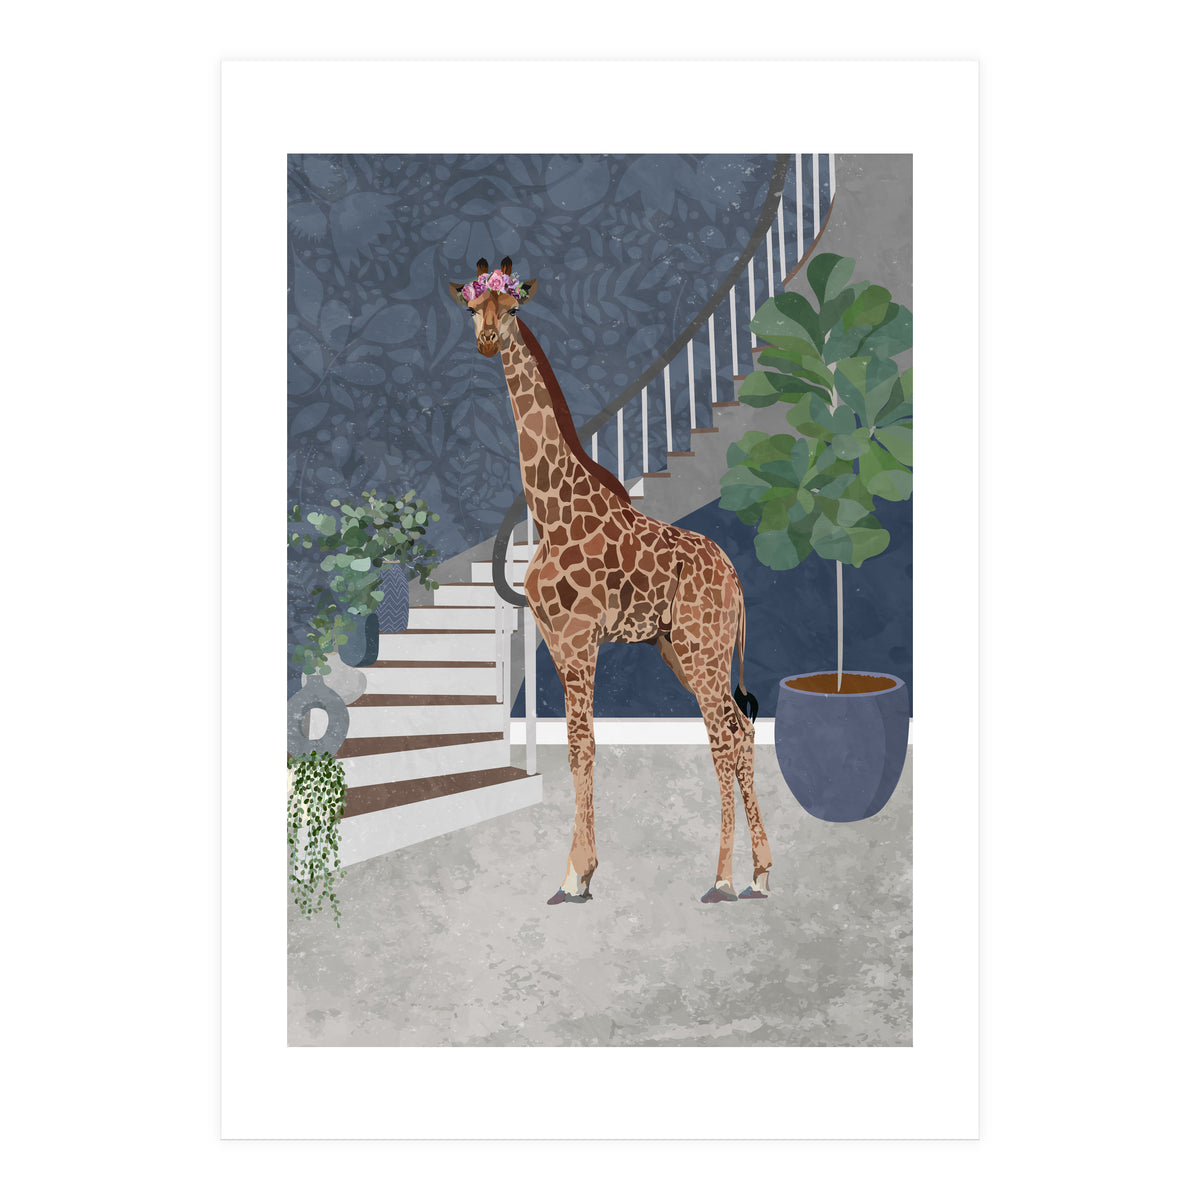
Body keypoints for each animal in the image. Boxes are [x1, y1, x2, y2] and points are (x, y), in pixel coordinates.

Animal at [450, 257, 772, 905]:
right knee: (742, 729)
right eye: (472, 307)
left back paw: (723, 878)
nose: (488, 340)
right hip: (683, 649)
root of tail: (735, 578)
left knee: (723, 738)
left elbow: (584, 744)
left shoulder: (579, 640)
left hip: (703, 649)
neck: (550, 511)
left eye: (513, 307)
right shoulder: (554, 639)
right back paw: (760, 873)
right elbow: (578, 748)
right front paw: (580, 871)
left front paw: (576, 874)